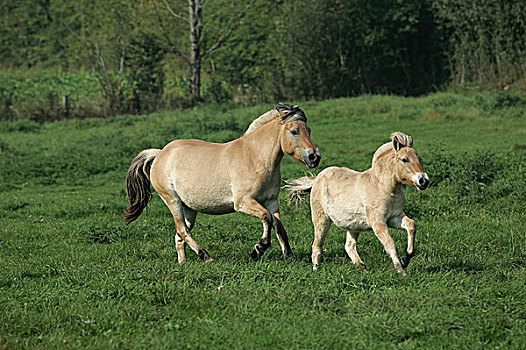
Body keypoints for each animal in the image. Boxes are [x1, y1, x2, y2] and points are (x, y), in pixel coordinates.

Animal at [125, 104, 322, 262]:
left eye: (309, 130)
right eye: (294, 131)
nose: (314, 157)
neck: (255, 157)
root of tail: (160, 154)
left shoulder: (271, 201)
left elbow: (279, 227)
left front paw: (289, 255)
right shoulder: (243, 202)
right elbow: (266, 218)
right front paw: (258, 250)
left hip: (188, 208)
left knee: (180, 235)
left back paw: (183, 263)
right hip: (172, 201)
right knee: (182, 231)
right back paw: (206, 256)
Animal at [286, 131, 432, 274]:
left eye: (419, 159)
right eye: (404, 159)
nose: (423, 181)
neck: (384, 186)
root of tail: (317, 178)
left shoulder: (394, 217)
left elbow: (411, 225)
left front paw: (405, 259)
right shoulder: (377, 221)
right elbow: (390, 243)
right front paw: (400, 270)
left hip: (353, 226)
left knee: (349, 246)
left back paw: (363, 267)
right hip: (321, 220)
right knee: (317, 245)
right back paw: (316, 269)